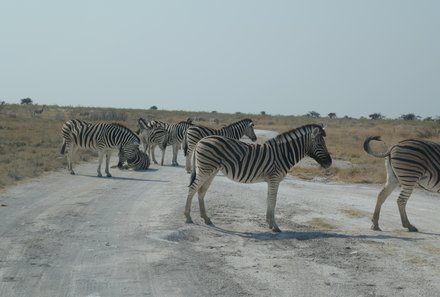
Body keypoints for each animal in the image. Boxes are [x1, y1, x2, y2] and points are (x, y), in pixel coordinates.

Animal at [184, 122, 332, 231]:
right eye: (320, 144)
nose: (329, 163)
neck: (284, 154)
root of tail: (201, 140)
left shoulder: (271, 180)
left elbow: (269, 200)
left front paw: (269, 223)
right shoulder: (275, 179)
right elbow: (273, 201)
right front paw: (275, 226)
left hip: (211, 171)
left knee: (201, 191)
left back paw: (206, 218)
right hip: (205, 169)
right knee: (192, 188)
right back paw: (188, 217)